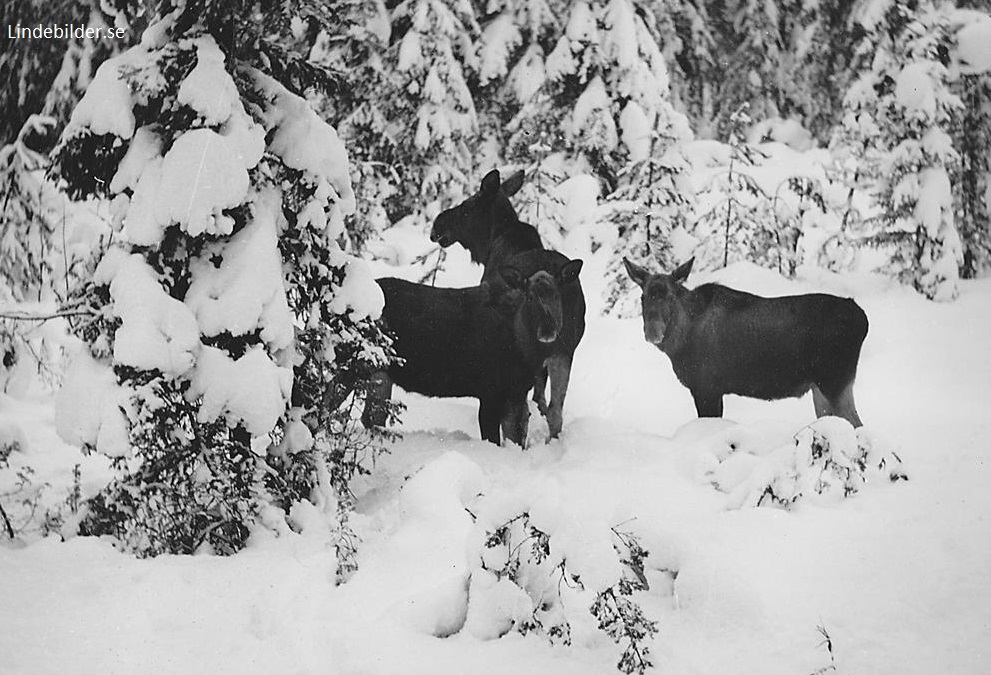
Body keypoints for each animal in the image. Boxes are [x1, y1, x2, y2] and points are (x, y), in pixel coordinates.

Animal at [366, 266, 576, 448]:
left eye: (556, 296)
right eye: (530, 297)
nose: (548, 329)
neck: (524, 351)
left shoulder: (515, 393)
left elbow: (515, 438)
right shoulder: (490, 391)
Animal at [430, 166, 584, 436]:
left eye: (467, 207)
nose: (438, 223)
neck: (491, 244)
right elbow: (542, 398)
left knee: (520, 415)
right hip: (563, 350)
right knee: (555, 412)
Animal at [628, 256, 868, 426]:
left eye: (670, 296)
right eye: (643, 297)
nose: (652, 332)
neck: (679, 343)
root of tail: (863, 319)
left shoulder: (705, 387)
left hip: (835, 380)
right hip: (821, 386)